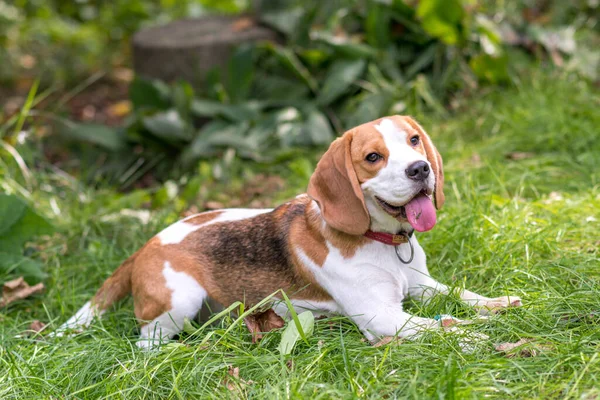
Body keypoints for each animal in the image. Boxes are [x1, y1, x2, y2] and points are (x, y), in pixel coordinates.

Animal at [57, 115, 520, 346]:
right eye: (373, 157)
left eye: (413, 141)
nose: (420, 169)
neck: (384, 243)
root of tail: (146, 244)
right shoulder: (382, 316)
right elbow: (443, 324)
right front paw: (475, 336)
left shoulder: (421, 285)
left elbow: (461, 295)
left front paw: (498, 303)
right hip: (179, 301)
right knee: (145, 343)